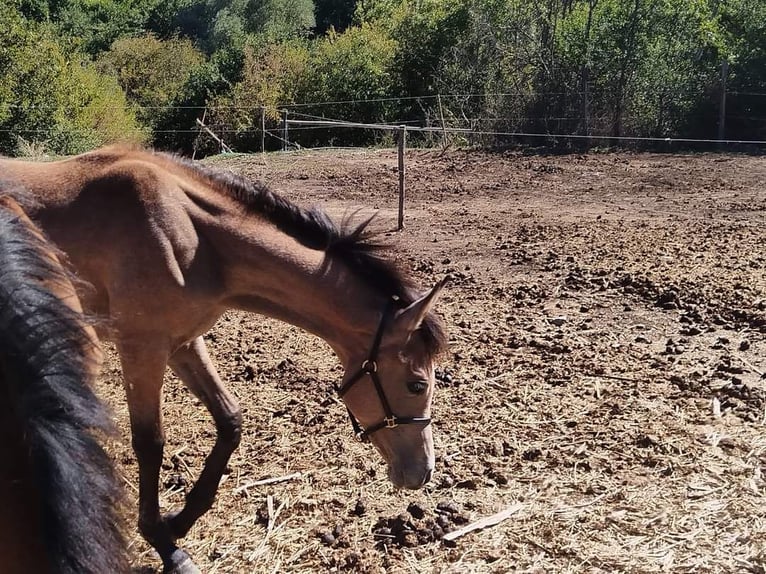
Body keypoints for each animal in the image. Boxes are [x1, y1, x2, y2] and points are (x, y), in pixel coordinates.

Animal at [0, 150, 448, 574]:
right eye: (417, 384)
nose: (423, 471)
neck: (189, 235)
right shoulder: (142, 348)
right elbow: (150, 443)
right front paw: (164, 544)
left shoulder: (183, 343)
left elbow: (230, 420)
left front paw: (180, 519)